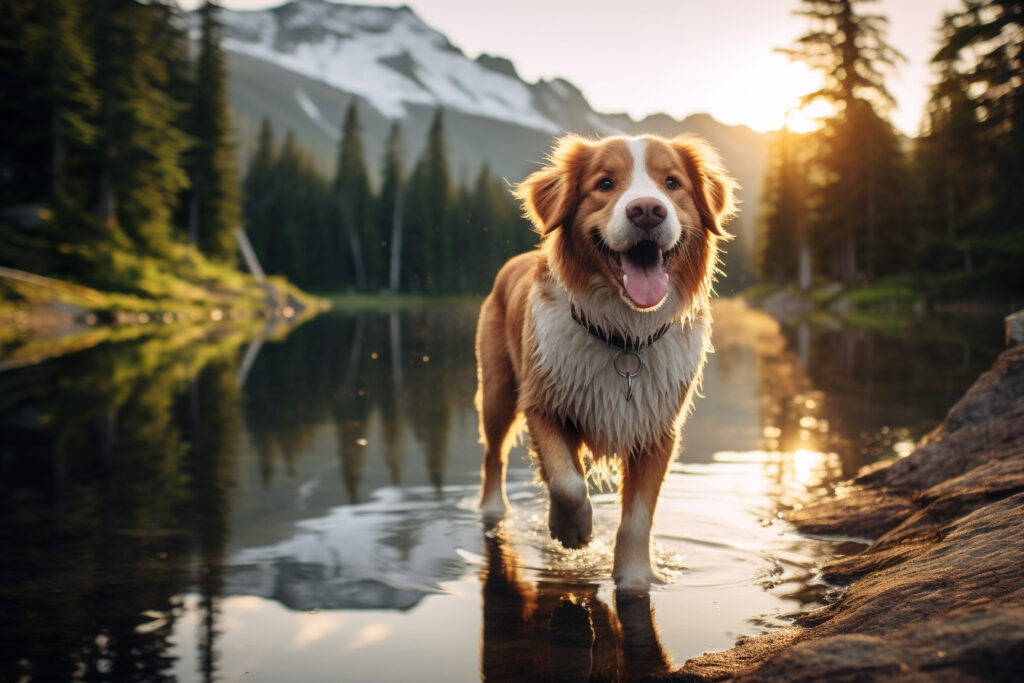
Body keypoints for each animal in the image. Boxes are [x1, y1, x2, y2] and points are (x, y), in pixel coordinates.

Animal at [473, 135, 737, 593]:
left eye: (672, 182)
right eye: (605, 183)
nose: (647, 209)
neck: (623, 336)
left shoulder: (657, 430)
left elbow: (637, 517)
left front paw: (635, 579)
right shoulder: (543, 405)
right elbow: (568, 483)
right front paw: (572, 532)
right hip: (498, 391)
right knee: (494, 455)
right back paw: (493, 512)